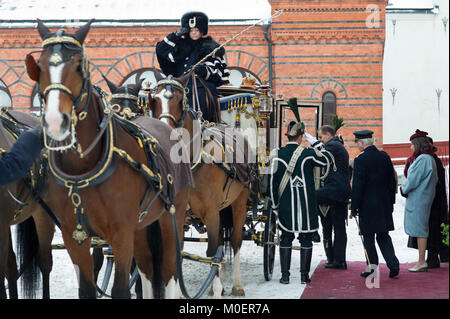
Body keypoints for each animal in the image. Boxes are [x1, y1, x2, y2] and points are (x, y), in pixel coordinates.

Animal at [25, 19, 192, 300]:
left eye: (79, 65)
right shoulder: (75, 236)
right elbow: (88, 287)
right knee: (148, 269)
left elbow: (121, 289)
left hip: (173, 214)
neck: (85, 168)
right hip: (143, 225)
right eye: (39, 66)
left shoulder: (121, 234)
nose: (56, 122)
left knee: (170, 269)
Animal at [150, 73, 258, 298]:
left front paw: (217, 288)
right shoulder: (179, 214)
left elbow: (212, 251)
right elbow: (179, 252)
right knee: (221, 240)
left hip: (239, 203)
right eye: (153, 100)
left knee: (234, 241)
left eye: (179, 100)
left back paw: (236, 285)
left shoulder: (211, 212)